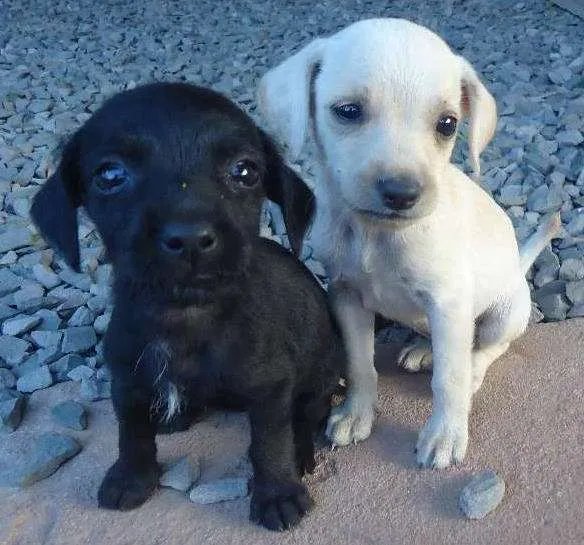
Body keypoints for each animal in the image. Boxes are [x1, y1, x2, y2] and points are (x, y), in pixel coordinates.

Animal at [29, 83, 344, 528]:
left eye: (245, 171)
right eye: (109, 175)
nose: (190, 237)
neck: (185, 316)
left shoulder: (272, 389)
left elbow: (270, 442)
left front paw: (277, 493)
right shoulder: (127, 380)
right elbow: (132, 433)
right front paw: (131, 476)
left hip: (320, 377)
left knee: (304, 416)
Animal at [260, 18, 560, 468]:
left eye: (448, 124)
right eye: (348, 111)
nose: (402, 194)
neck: (378, 235)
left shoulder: (448, 302)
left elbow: (448, 379)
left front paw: (445, 434)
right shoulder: (345, 296)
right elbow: (360, 363)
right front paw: (356, 413)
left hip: (504, 314)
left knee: (489, 348)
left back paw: (472, 367)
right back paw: (421, 348)